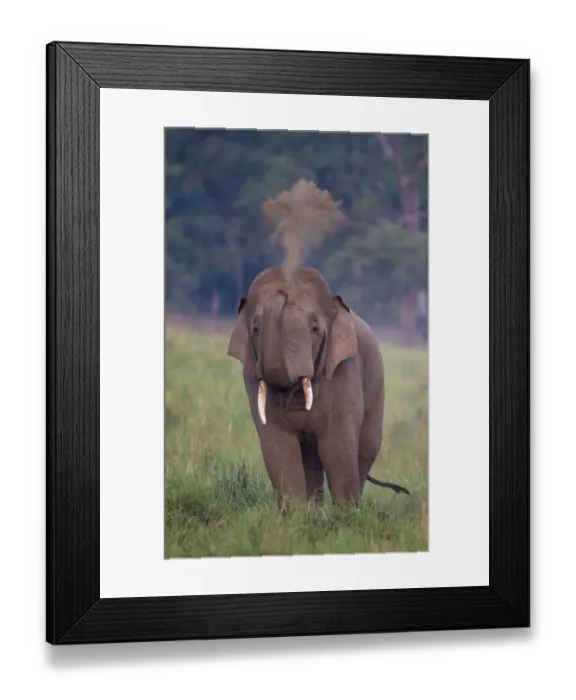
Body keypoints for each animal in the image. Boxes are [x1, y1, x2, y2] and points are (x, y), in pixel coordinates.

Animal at [227, 265, 409, 510]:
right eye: (255, 329)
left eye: (314, 329)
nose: (284, 286)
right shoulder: (251, 377)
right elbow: (278, 446)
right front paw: (296, 514)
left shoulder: (344, 369)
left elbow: (337, 444)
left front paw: (346, 513)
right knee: (311, 461)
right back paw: (315, 509)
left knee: (366, 449)